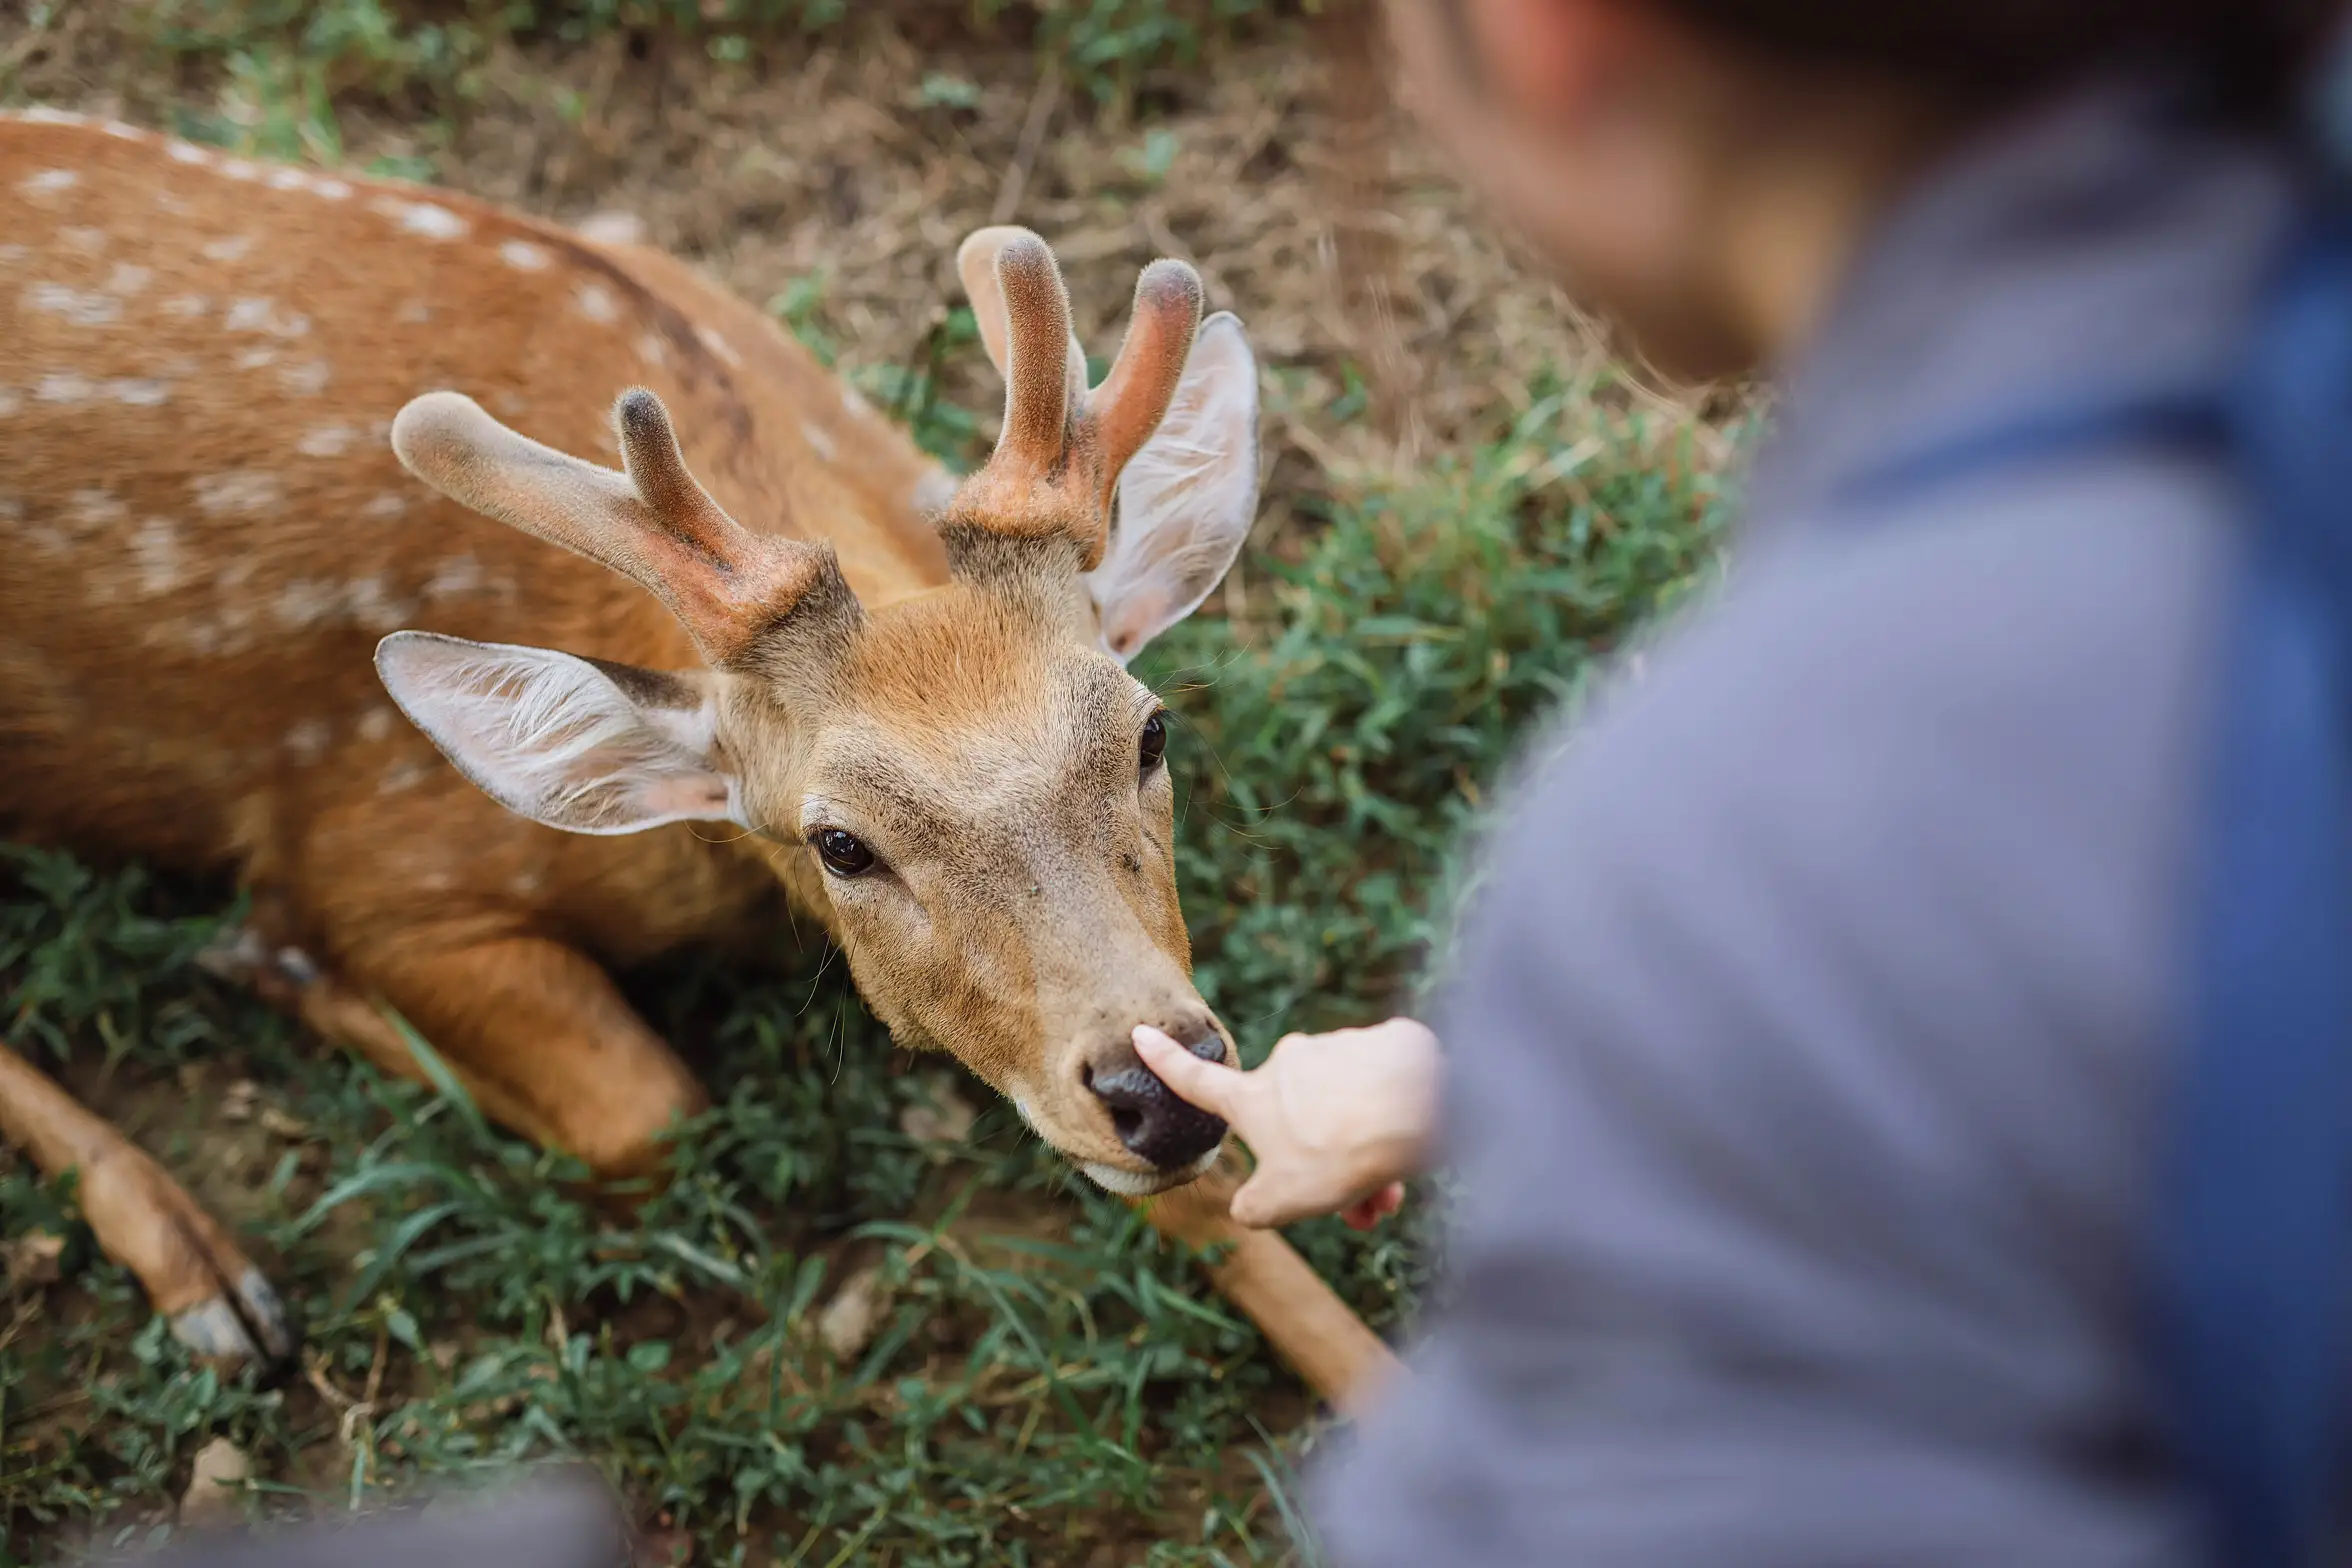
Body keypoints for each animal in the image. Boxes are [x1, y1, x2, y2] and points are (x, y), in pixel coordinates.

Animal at [0, 107, 1392, 1410]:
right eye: (841, 842)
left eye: (1150, 731)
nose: (1157, 1088)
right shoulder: (381, 852)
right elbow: (648, 1112)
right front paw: (276, 958)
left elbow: (1217, 1206)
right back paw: (214, 1276)